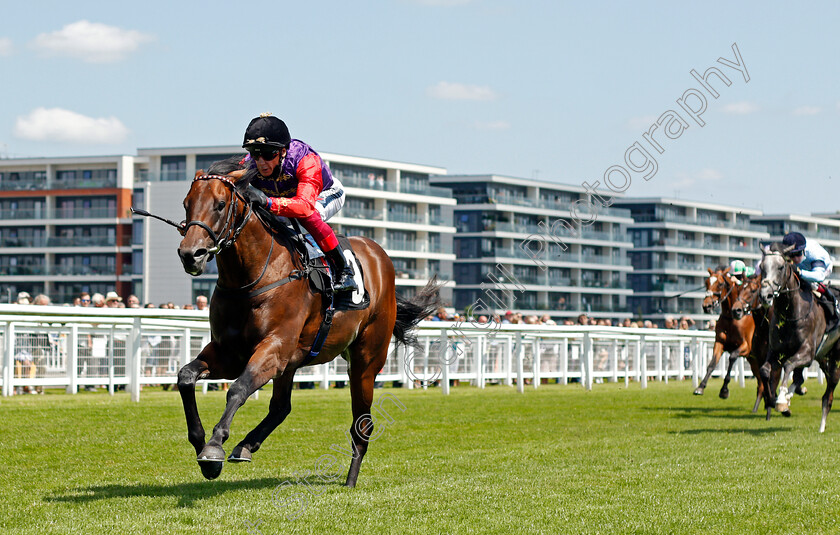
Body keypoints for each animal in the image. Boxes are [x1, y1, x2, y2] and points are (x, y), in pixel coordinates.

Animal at [175, 160, 442, 486]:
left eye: (220, 204)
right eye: (186, 203)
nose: (191, 254)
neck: (254, 276)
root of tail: (380, 257)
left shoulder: (274, 348)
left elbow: (237, 389)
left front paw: (214, 447)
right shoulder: (230, 353)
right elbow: (186, 377)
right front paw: (201, 443)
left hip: (365, 362)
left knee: (362, 424)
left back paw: (350, 480)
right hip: (293, 361)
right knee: (281, 407)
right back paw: (247, 445)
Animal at [756, 242, 840, 432]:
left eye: (780, 267)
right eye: (762, 267)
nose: (765, 296)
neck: (792, 313)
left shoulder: (807, 353)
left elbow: (787, 365)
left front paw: (781, 400)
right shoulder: (776, 351)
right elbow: (764, 370)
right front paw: (773, 399)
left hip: (834, 359)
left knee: (828, 395)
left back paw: (821, 427)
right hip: (822, 358)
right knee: (800, 377)